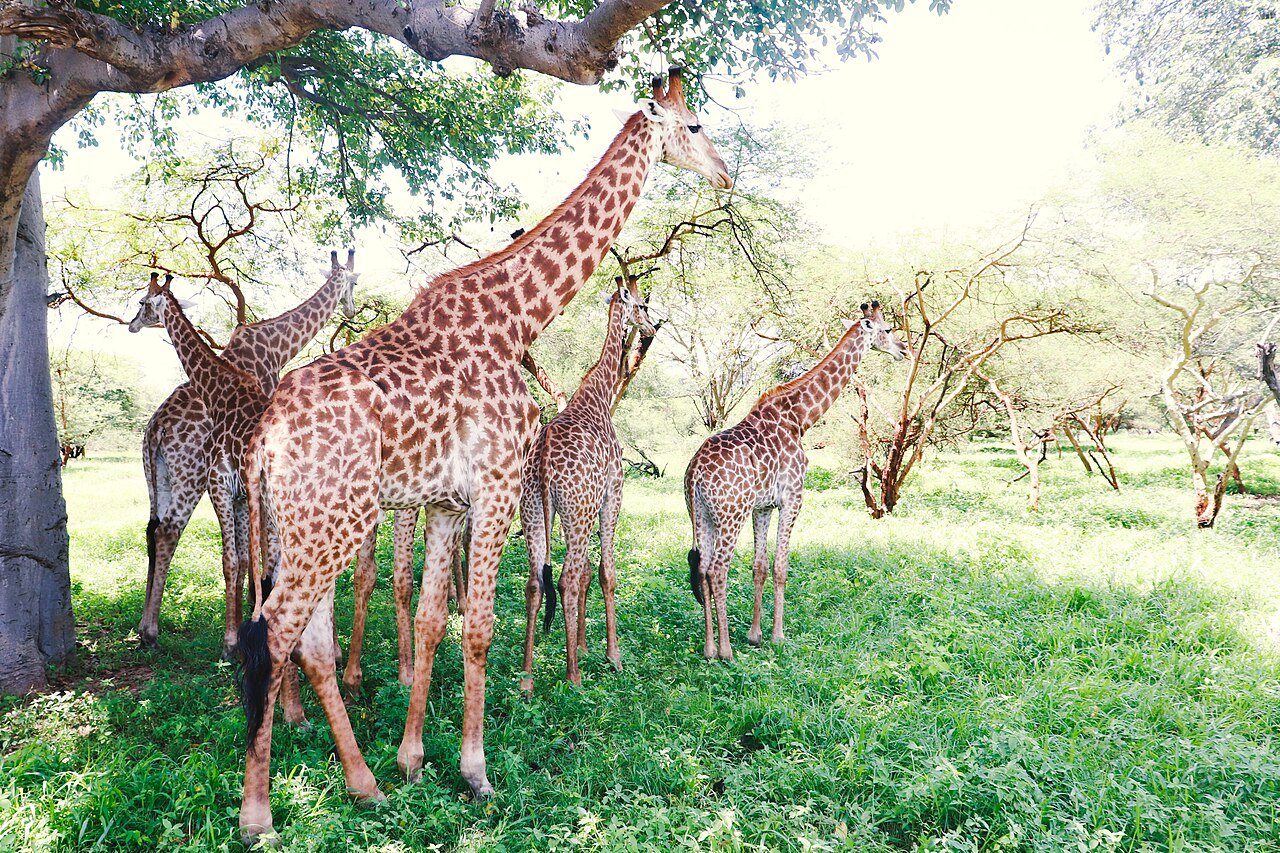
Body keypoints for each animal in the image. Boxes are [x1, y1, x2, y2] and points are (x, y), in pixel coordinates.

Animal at [130, 256, 357, 655]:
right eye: (354, 283)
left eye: (142, 302)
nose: (132, 324)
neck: (276, 345)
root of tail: (156, 427)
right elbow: (252, 555)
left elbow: (251, 554)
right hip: (186, 478)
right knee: (166, 532)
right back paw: (151, 629)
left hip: (162, 477)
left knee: (156, 532)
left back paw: (148, 629)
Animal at [519, 276, 657, 691]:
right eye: (642, 305)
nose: (651, 328)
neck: (600, 391)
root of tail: (544, 459)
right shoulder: (614, 491)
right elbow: (605, 572)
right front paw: (612, 655)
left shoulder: (584, 505)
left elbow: (584, 574)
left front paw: (581, 643)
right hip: (575, 510)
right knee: (564, 579)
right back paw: (574, 676)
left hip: (535, 512)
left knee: (536, 582)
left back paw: (527, 679)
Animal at [684, 301, 905, 662]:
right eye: (887, 330)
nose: (902, 350)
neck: (800, 418)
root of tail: (695, 474)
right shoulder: (793, 498)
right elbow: (781, 566)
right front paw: (777, 635)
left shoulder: (762, 506)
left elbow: (760, 566)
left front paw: (755, 635)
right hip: (731, 514)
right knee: (718, 570)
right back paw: (726, 652)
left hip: (701, 514)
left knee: (702, 568)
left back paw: (708, 648)